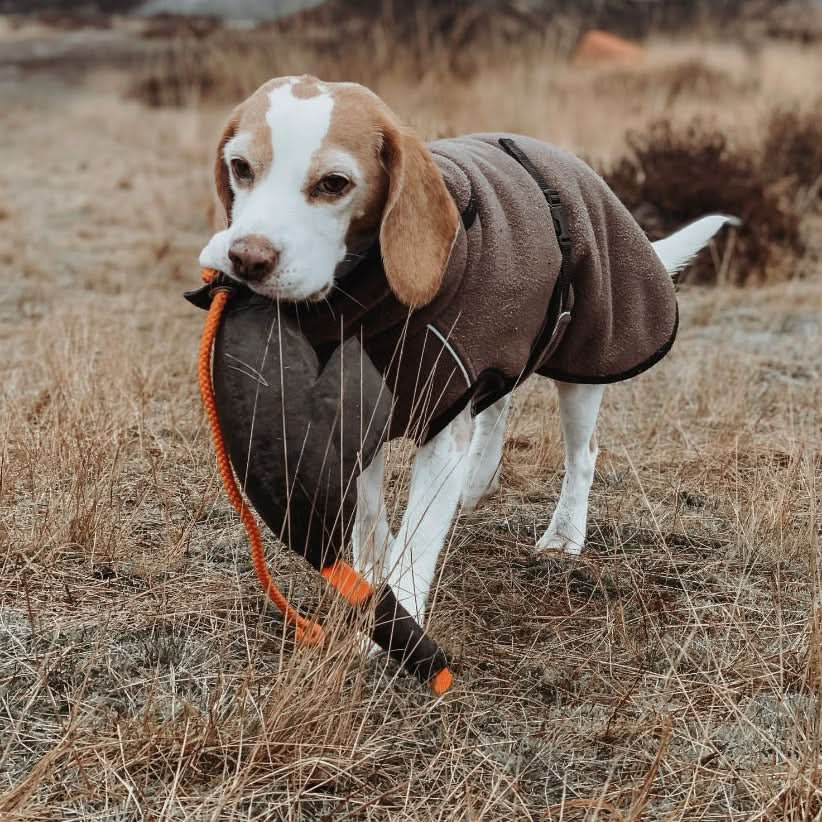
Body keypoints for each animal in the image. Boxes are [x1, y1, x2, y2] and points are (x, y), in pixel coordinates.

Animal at [201, 75, 740, 624]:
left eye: (334, 183)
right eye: (240, 167)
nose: (247, 258)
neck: (368, 303)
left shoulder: (442, 429)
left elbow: (417, 543)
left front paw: (394, 618)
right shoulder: (361, 416)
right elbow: (370, 516)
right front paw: (372, 577)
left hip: (586, 359)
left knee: (581, 453)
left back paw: (563, 533)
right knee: (499, 400)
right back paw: (479, 478)